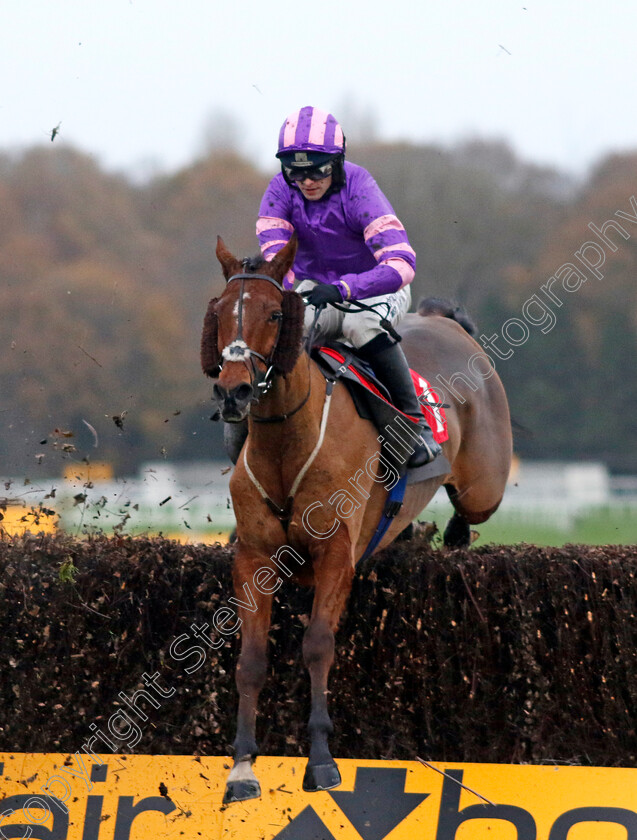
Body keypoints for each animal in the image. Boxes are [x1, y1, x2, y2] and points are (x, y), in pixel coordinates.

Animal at [201, 233, 510, 804]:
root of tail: (446, 322)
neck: (288, 441)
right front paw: (242, 768)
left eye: (275, 313)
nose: (234, 392)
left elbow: (318, 646)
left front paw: (322, 761)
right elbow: (250, 661)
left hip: (486, 484)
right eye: (222, 313)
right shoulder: (253, 559)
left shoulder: (335, 554)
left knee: (468, 508)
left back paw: (450, 532)